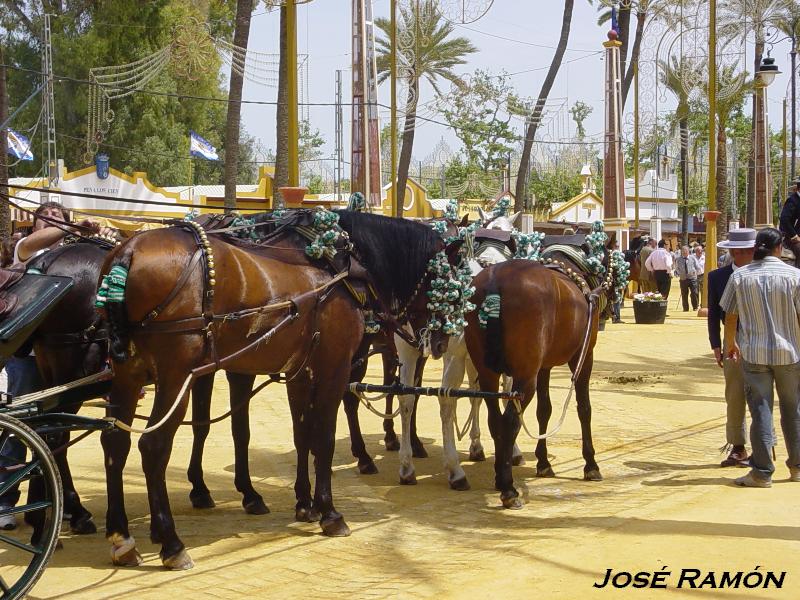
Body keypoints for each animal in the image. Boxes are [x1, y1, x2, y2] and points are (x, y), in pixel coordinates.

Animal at [100, 209, 462, 568]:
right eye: (450, 287)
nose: (442, 342)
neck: (342, 267)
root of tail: (128, 252)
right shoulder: (334, 368)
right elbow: (323, 438)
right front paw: (329, 512)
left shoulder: (300, 371)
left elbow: (302, 436)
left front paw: (305, 503)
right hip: (176, 377)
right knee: (153, 446)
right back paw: (172, 543)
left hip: (129, 374)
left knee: (115, 442)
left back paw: (122, 537)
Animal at [462, 255, 612, 508]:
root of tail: (495, 282)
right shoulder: (583, 357)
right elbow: (584, 409)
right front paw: (590, 464)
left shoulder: (544, 367)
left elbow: (544, 410)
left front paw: (543, 462)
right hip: (525, 377)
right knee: (510, 421)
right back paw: (509, 489)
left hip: (488, 374)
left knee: (495, 420)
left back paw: (500, 476)